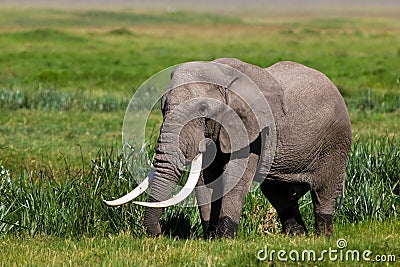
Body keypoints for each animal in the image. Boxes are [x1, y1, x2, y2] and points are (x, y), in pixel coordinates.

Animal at [104, 58, 352, 239]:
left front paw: (224, 239)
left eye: (203, 109)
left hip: (335, 142)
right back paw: (297, 237)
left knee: (323, 191)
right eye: (163, 108)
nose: (159, 234)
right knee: (279, 194)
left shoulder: (252, 130)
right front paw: (210, 238)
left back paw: (323, 237)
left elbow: (235, 175)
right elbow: (205, 178)